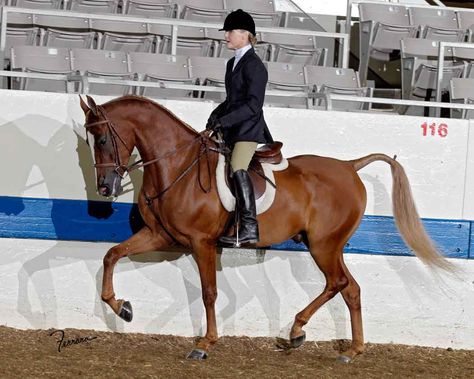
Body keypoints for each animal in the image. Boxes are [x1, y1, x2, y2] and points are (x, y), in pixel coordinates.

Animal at [79, 95, 454, 362]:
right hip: (330, 246)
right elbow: (112, 255)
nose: (105, 187)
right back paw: (351, 350)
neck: (177, 165)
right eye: (89, 141)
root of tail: (349, 166)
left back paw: (298, 330)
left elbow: (209, 293)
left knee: (337, 283)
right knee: (351, 289)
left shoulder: (202, 243)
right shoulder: (161, 236)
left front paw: (205, 344)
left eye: (102, 139)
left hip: (323, 245)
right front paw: (121, 307)